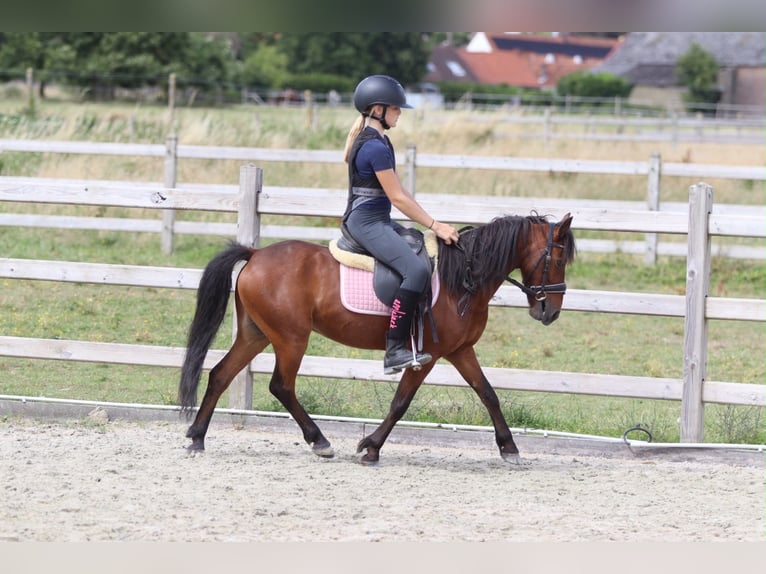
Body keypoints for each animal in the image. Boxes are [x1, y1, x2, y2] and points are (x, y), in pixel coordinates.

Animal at [178, 212, 575, 464]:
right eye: (558, 260)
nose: (551, 312)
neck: (460, 280)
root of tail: (256, 253)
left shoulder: (461, 350)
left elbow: (488, 393)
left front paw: (509, 448)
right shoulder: (426, 356)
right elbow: (400, 402)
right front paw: (371, 448)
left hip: (256, 334)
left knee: (220, 374)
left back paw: (197, 437)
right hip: (291, 339)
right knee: (281, 385)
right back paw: (319, 441)